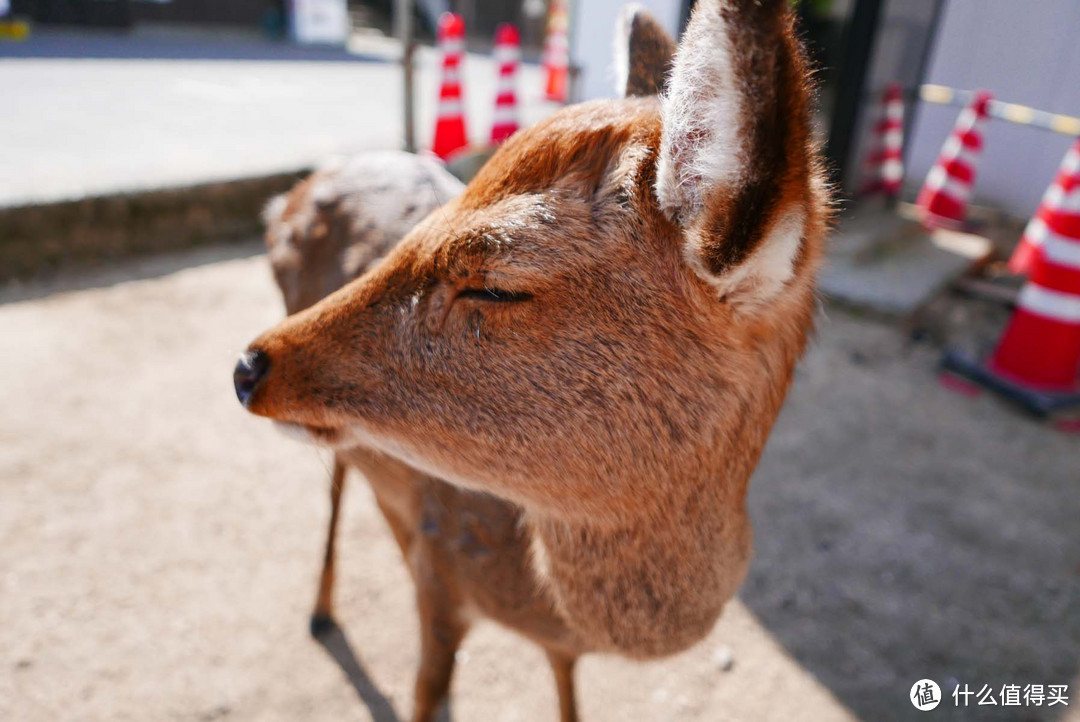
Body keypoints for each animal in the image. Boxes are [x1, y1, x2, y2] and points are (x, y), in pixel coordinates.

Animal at [236, 2, 825, 716]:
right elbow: (427, 690)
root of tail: (285, 200)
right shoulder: (438, 584)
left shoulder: (553, 642)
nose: (249, 366)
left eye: (496, 285)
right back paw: (320, 611)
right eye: (430, 219)